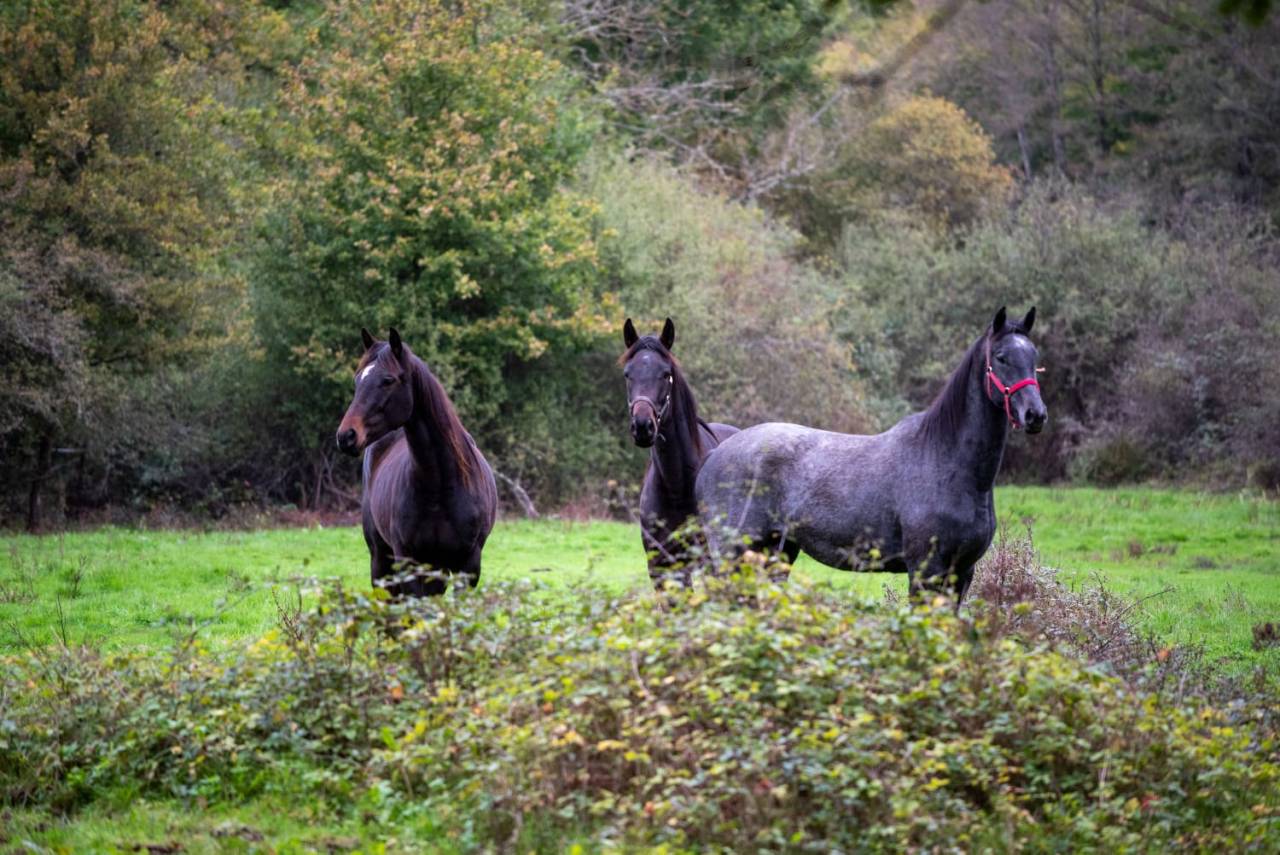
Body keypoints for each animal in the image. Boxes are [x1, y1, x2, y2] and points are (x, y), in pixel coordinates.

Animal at [336, 328, 498, 597]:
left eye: (388, 380)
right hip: (381, 559)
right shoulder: (408, 561)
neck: (441, 485)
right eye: (357, 380)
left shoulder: (469, 565)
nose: (346, 436)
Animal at [621, 318, 739, 587]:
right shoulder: (661, 566)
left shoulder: (709, 563)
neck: (677, 486)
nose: (642, 426)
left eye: (666, 374)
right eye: (627, 374)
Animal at [695, 307, 1047, 601]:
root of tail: (716, 454)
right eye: (1001, 357)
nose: (1035, 415)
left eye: (1034, 357)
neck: (948, 463)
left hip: (775, 552)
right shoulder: (926, 570)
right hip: (732, 551)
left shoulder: (962, 573)